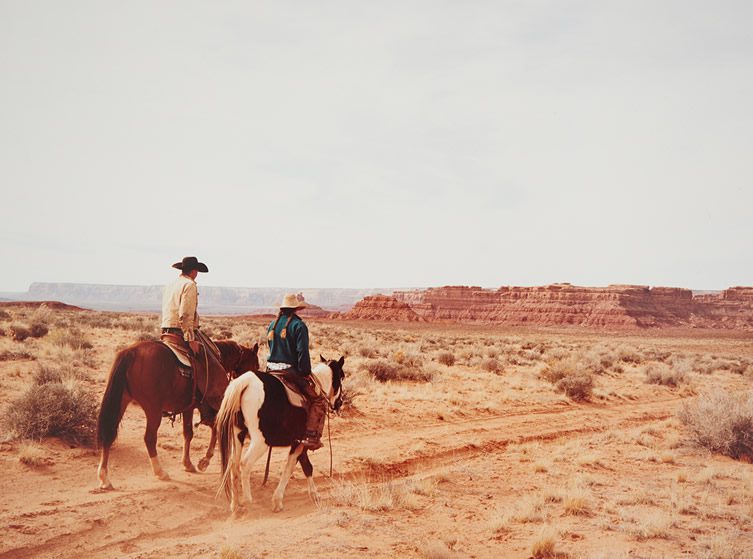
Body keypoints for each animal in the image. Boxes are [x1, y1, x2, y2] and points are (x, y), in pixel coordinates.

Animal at [95, 336, 260, 490]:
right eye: (256, 365)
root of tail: (130, 352)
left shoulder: (189, 408)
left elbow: (188, 433)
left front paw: (189, 463)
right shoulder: (206, 405)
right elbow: (213, 428)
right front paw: (204, 461)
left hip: (122, 400)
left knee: (109, 434)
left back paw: (104, 478)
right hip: (153, 409)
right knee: (149, 438)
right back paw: (160, 472)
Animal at [216, 356, 346, 516]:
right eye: (342, 376)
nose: (340, 403)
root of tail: (245, 382)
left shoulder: (299, 442)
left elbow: (305, 466)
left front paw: (314, 494)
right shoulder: (300, 443)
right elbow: (291, 468)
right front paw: (278, 501)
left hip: (237, 435)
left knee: (233, 464)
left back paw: (235, 505)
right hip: (260, 442)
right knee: (245, 464)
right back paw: (248, 502)